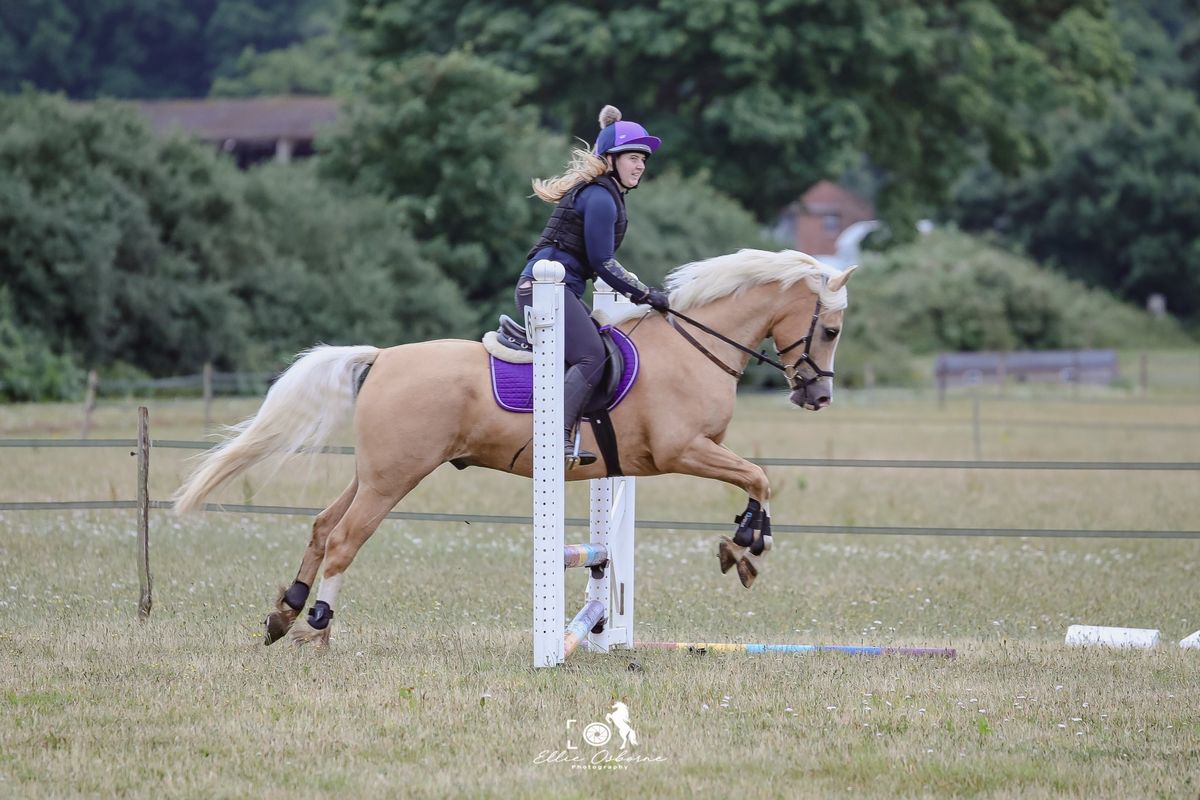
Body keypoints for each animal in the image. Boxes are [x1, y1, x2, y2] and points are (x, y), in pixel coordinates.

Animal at [174, 253, 859, 647]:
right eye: (829, 330)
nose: (818, 395)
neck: (693, 348)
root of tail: (383, 357)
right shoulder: (683, 450)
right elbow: (759, 477)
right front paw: (744, 545)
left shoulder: (688, 453)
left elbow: (752, 477)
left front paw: (744, 543)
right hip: (395, 477)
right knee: (345, 538)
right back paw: (317, 625)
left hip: (373, 473)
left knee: (322, 526)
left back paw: (283, 614)